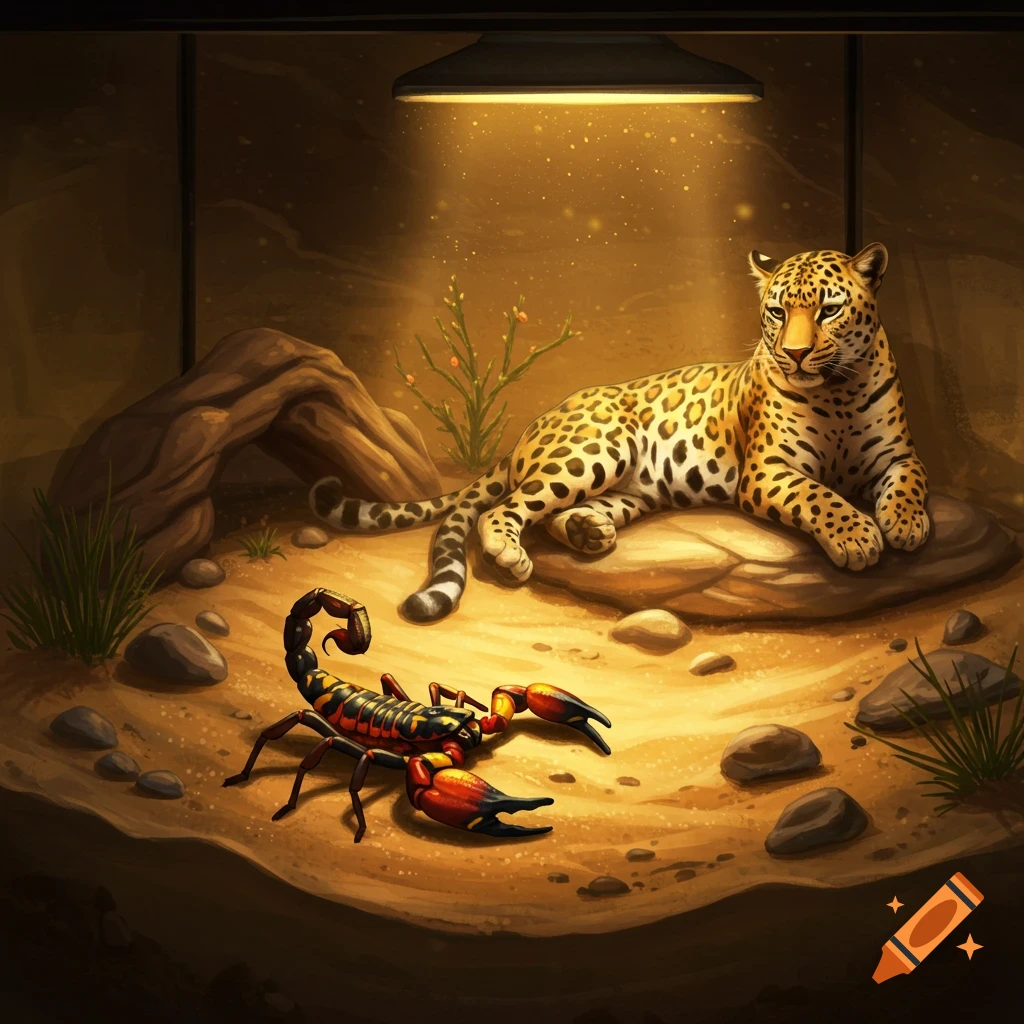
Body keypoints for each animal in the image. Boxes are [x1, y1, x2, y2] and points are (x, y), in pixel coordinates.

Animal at [311, 242, 930, 623]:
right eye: (778, 312)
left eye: (828, 310)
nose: (796, 354)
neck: (837, 392)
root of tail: (534, 426)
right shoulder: (768, 470)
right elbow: (820, 495)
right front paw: (858, 537)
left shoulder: (898, 454)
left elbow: (909, 481)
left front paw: (904, 524)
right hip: (597, 448)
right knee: (507, 507)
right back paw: (511, 552)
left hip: (634, 486)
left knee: (559, 512)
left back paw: (589, 532)